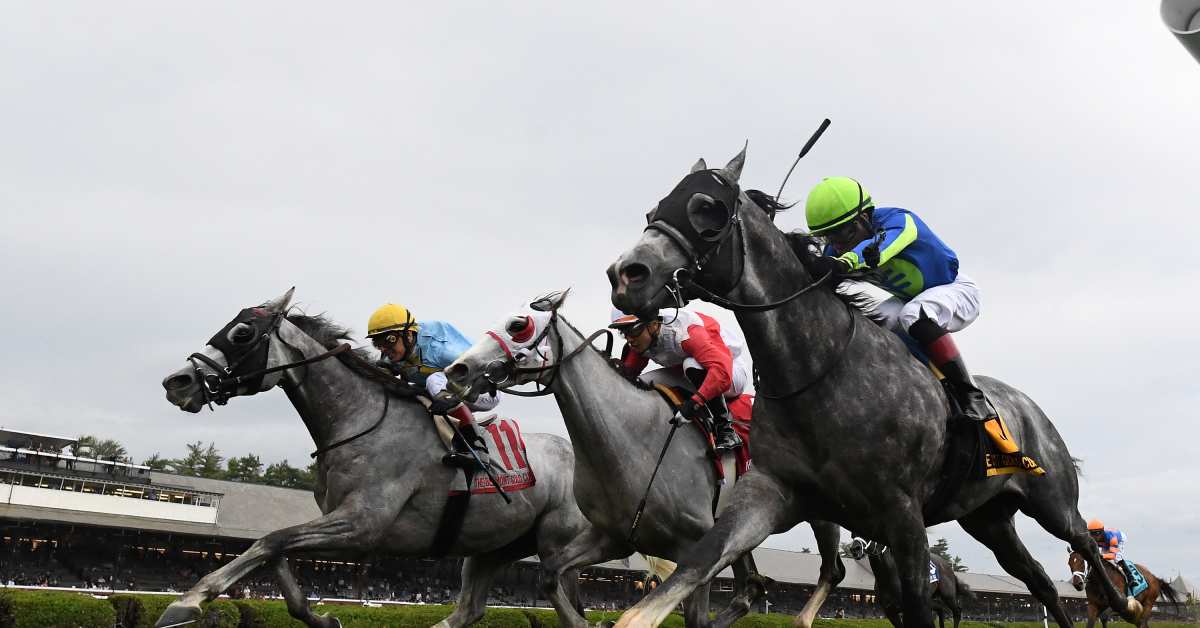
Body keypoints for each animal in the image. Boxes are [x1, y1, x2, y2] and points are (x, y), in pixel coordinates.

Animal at [160, 291, 628, 628]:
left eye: (242, 334)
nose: (177, 382)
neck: (358, 419)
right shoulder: (340, 525)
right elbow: (276, 550)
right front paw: (322, 617)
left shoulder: (362, 524)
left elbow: (268, 542)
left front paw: (189, 601)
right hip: (493, 546)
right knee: (470, 610)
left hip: (557, 544)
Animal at [441, 295, 844, 628]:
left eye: (518, 325)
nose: (457, 370)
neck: (633, 441)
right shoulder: (614, 538)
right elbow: (550, 575)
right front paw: (588, 622)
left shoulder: (693, 549)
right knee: (750, 590)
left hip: (821, 516)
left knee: (833, 571)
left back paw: (802, 619)